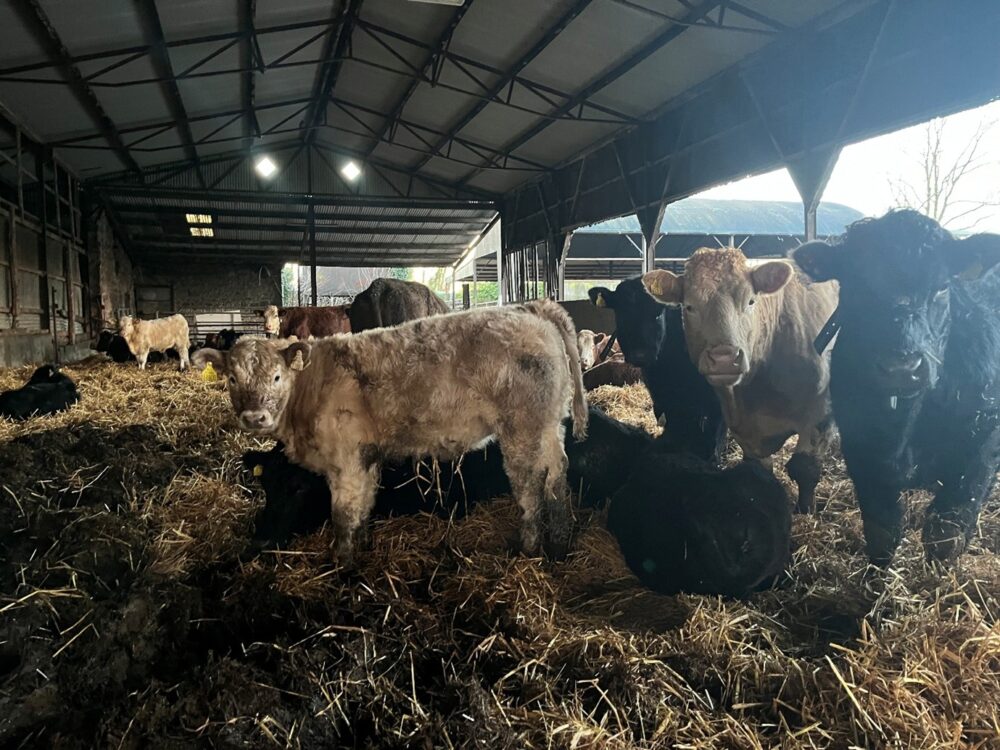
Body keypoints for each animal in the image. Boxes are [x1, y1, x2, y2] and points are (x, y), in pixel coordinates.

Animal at [193, 299, 588, 562]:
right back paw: (559, 545)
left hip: (522, 429)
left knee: (531, 485)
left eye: (276, 377)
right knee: (558, 475)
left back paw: (528, 548)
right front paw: (364, 547)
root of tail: (529, 309)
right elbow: (365, 506)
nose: (254, 416)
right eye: (231, 379)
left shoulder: (346, 462)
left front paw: (342, 565)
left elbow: (343, 516)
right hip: (549, 424)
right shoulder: (366, 456)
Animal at [642, 248, 838, 514]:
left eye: (751, 301)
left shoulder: (820, 413)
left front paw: (806, 511)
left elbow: (805, 468)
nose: (724, 358)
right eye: (690, 306)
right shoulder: (742, 427)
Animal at [793, 210, 1000, 564]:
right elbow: (882, 532)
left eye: (942, 287)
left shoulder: (979, 452)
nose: (900, 368)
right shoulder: (863, 451)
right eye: (855, 286)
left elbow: (947, 533)